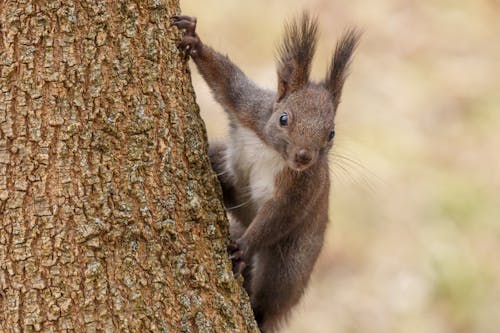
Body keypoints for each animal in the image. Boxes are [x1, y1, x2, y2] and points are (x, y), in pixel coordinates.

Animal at [172, 12, 360, 332]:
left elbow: (278, 215)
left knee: (269, 298)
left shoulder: (303, 186)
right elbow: (226, 82)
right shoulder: (251, 108)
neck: (274, 152)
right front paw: (193, 39)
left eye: (331, 133)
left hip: (288, 265)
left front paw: (244, 246)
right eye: (283, 118)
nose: (304, 156)